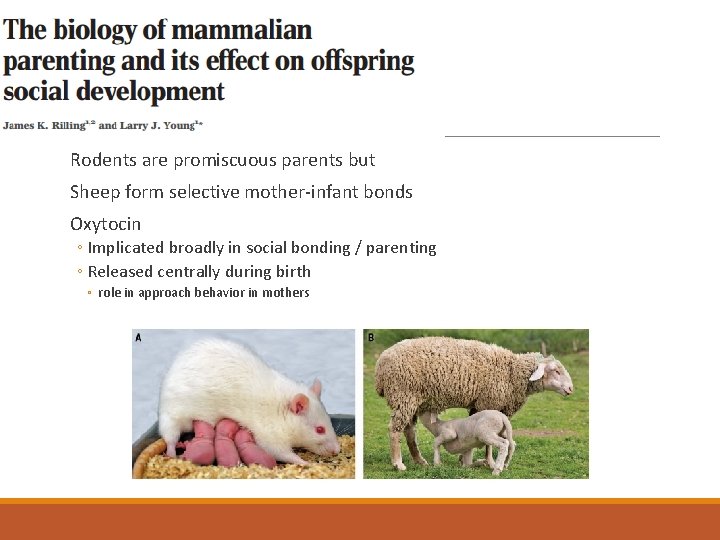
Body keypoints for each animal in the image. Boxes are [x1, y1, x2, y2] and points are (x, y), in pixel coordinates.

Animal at [374, 336, 573, 471]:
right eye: (556, 371)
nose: (571, 389)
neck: (511, 373)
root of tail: (380, 364)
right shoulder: (489, 402)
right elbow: (488, 442)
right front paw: (490, 462)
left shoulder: (480, 405)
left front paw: (467, 460)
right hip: (403, 395)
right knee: (395, 429)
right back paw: (398, 464)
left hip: (411, 401)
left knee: (409, 431)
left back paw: (419, 460)